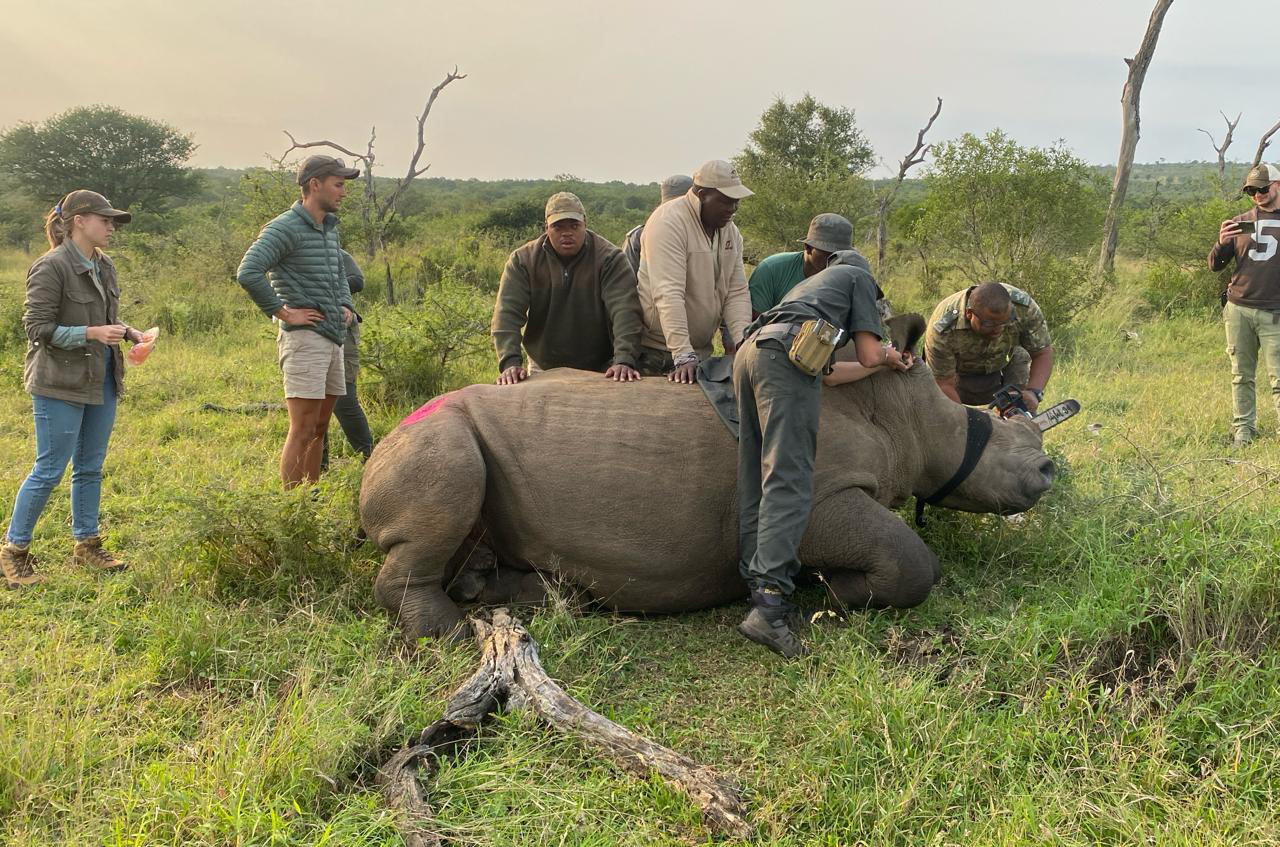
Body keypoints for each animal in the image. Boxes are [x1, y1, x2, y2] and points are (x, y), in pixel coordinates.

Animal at [360, 334, 1055, 643]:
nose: (1049, 472)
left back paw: (538, 595)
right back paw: (452, 632)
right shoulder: (812, 496)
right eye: (995, 432)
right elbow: (913, 560)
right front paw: (836, 592)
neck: (906, 416)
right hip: (435, 435)